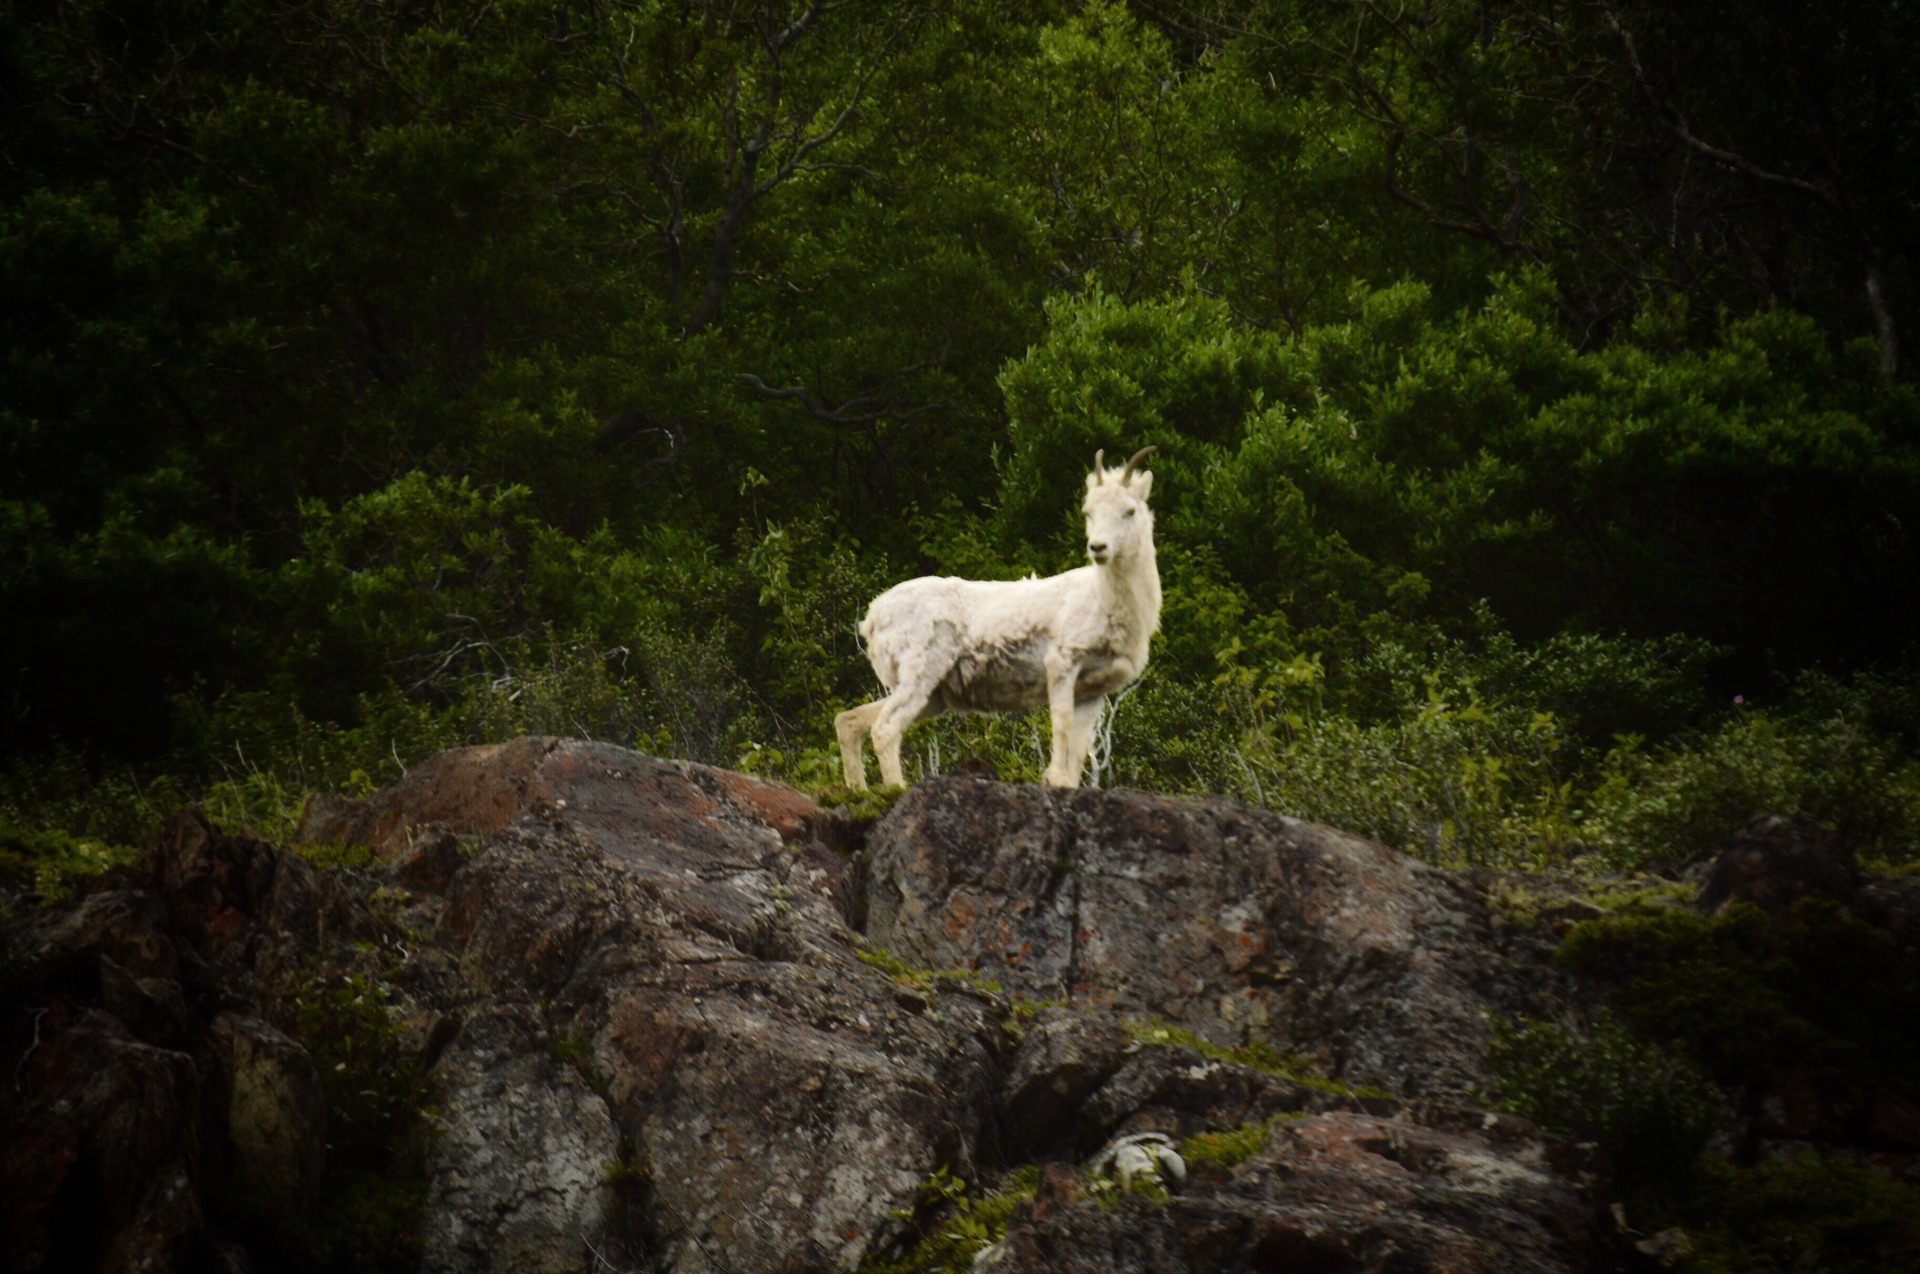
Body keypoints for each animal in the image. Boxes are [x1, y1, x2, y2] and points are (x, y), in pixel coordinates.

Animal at [837, 445, 1159, 786]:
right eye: (1088, 511)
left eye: (1129, 511)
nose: (1098, 547)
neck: (1105, 603)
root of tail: (872, 619)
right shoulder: (1062, 664)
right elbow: (1061, 724)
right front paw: (1053, 779)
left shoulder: (1093, 691)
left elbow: (1080, 747)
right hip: (920, 674)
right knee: (885, 729)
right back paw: (895, 789)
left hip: (931, 696)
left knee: (851, 722)